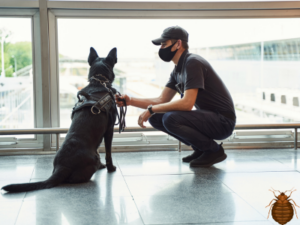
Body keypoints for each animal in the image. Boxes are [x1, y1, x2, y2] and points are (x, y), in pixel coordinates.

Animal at [2, 47, 120, 192]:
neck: (98, 82)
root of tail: (61, 167)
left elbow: (99, 148)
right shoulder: (109, 129)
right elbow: (108, 152)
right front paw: (110, 168)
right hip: (92, 160)